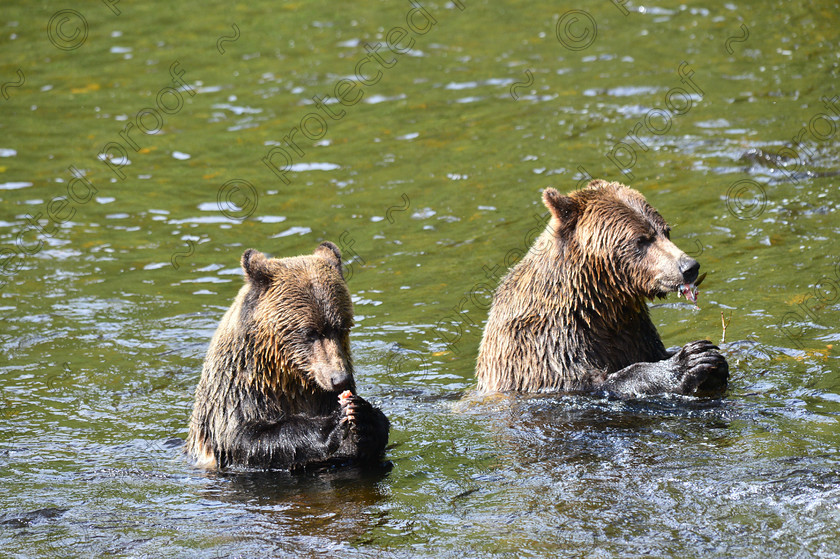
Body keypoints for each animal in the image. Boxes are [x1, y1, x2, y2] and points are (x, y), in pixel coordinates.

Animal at [185, 243, 388, 470]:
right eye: (310, 332)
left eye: (342, 327)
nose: (339, 379)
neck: (286, 378)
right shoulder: (239, 394)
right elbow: (247, 438)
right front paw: (331, 424)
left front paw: (365, 417)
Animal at [480, 180, 728, 398]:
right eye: (641, 239)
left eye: (666, 231)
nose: (689, 267)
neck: (600, 302)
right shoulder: (546, 342)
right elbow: (592, 380)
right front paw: (691, 359)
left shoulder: (634, 329)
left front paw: (715, 361)